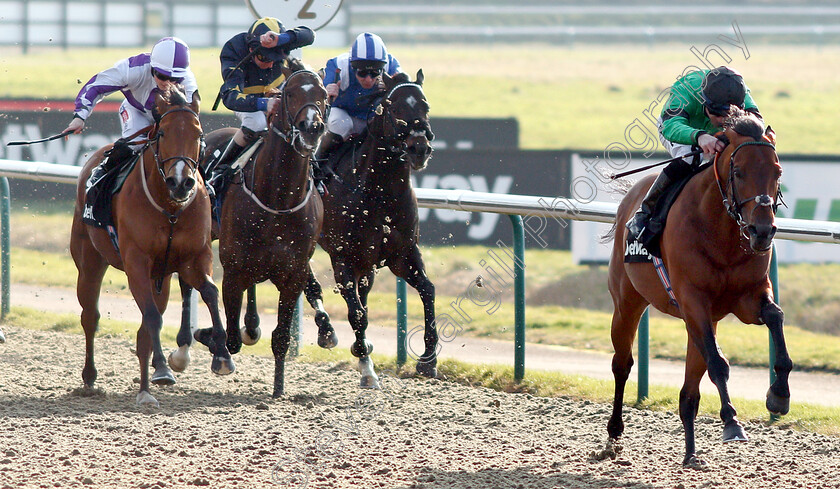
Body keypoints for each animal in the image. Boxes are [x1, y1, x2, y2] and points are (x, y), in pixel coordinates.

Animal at [69, 86, 231, 406]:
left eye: (198, 133)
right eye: (163, 133)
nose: (181, 182)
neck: (170, 208)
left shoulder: (194, 258)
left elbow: (209, 292)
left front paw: (222, 355)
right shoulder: (136, 263)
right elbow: (152, 318)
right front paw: (159, 373)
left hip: (162, 276)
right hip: (89, 260)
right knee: (90, 316)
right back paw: (91, 377)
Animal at [194, 61, 328, 396]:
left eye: (323, 94)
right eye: (290, 93)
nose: (311, 127)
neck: (278, 198)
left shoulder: (293, 273)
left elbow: (280, 336)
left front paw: (279, 388)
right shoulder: (233, 269)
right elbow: (230, 337)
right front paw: (210, 339)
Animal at [312, 69, 436, 388]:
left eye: (425, 106)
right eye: (394, 108)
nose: (420, 148)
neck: (380, 193)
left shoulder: (403, 253)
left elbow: (428, 291)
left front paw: (428, 360)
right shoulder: (342, 256)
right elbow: (356, 313)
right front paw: (367, 367)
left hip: (366, 260)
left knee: (363, 291)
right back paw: (327, 331)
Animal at [604, 109, 788, 466]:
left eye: (777, 172)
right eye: (739, 172)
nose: (762, 231)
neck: (722, 233)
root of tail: (628, 201)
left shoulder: (747, 298)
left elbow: (775, 317)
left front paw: (779, 395)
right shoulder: (693, 301)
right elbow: (718, 364)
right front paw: (731, 422)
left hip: (700, 320)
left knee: (689, 392)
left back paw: (690, 453)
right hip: (627, 301)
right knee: (622, 363)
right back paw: (614, 433)